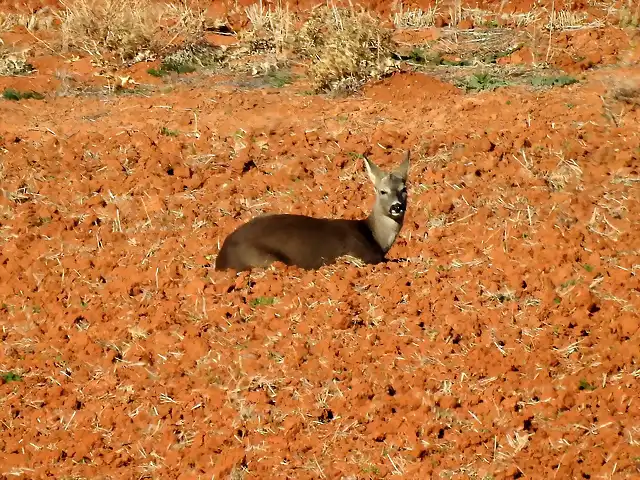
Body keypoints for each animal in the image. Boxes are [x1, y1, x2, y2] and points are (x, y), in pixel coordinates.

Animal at [215, 150, 412, 270]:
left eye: (404, 189)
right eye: (382, 191)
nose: (396, 206)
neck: (373, 236)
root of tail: (221, 258)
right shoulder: (360, 256)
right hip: (263, 258)